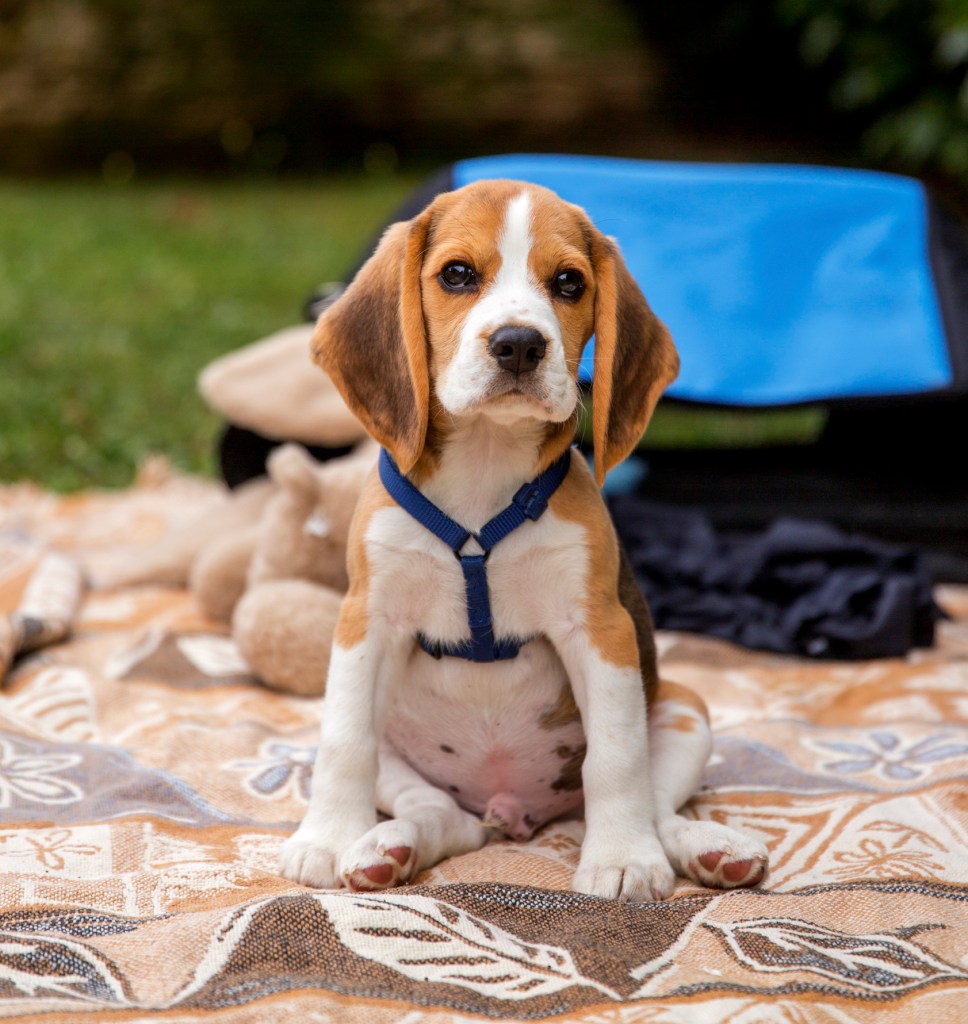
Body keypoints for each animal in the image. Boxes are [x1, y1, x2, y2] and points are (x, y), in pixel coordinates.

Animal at [278, 180, 770, 901]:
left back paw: (708, 848)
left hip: (685, 708)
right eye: (457, 274)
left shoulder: (600, 628)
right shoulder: (366, 619)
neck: (485, 468)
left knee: (654, 803)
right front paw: (325, 839)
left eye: (568, 282)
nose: (518, 344)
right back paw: (388, 847)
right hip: (410, 761)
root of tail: (511, 811)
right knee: (442, 816)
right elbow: (345, 744)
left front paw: (623, 859)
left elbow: (616, 760)